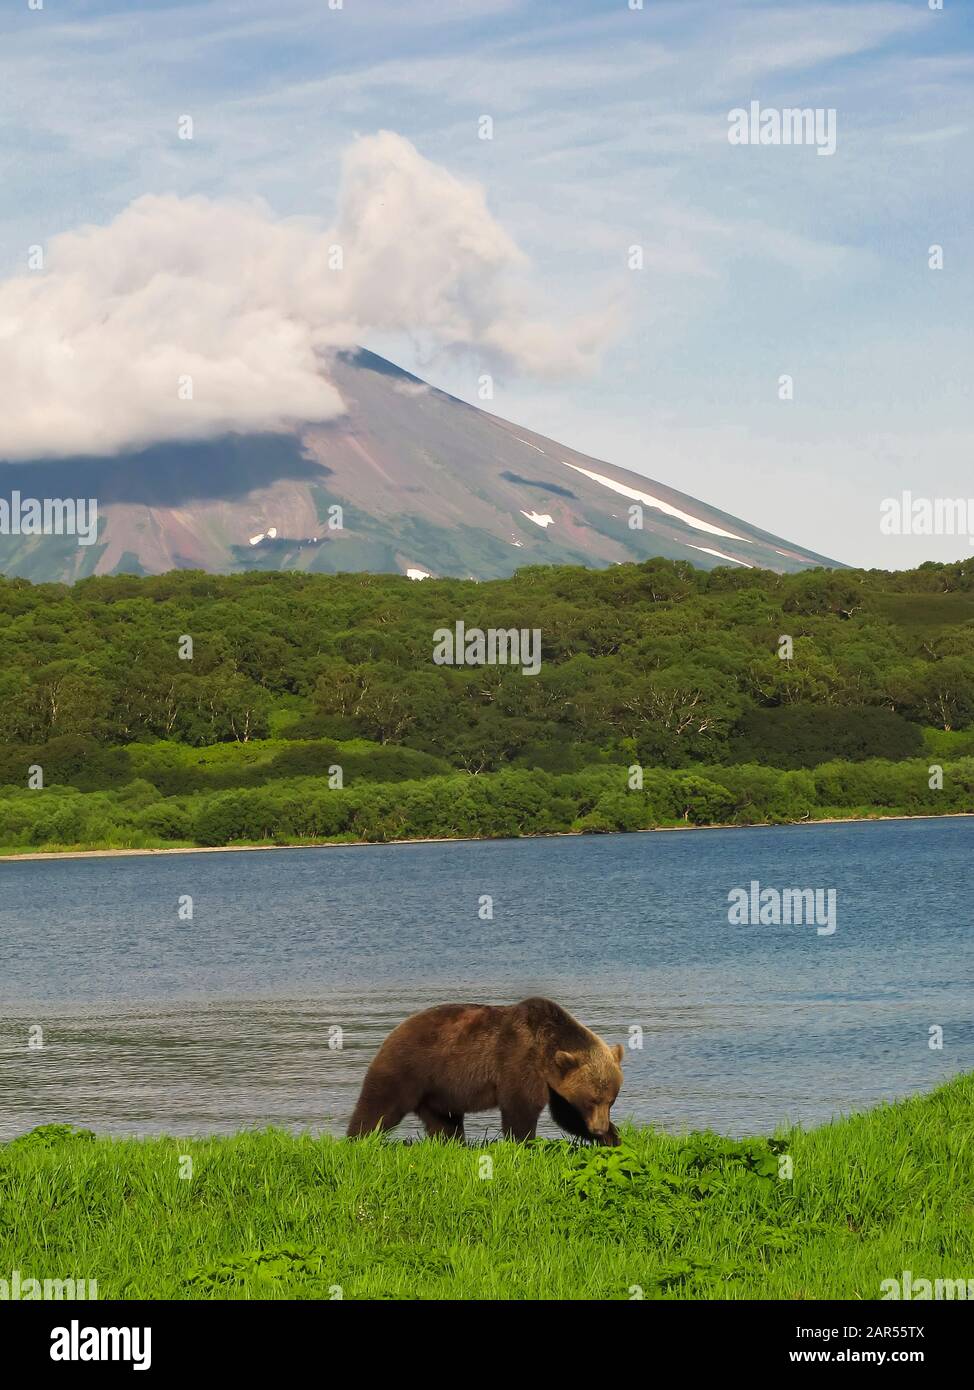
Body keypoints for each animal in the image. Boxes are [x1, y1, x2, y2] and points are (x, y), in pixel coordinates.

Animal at [343, 1000, 622, 1139]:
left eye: (610, 1100)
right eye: (592, 1099)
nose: (598, 1128)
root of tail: (395, 1030)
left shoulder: (554, 1081)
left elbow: (565, 1114)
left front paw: (612, 1138)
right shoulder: (519, 1060)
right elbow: (521, 1108)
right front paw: (524, 1143)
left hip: (438, 1092)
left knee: (445, 1124)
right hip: (408, 1068)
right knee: (379, 1107)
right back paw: (358, 1139)